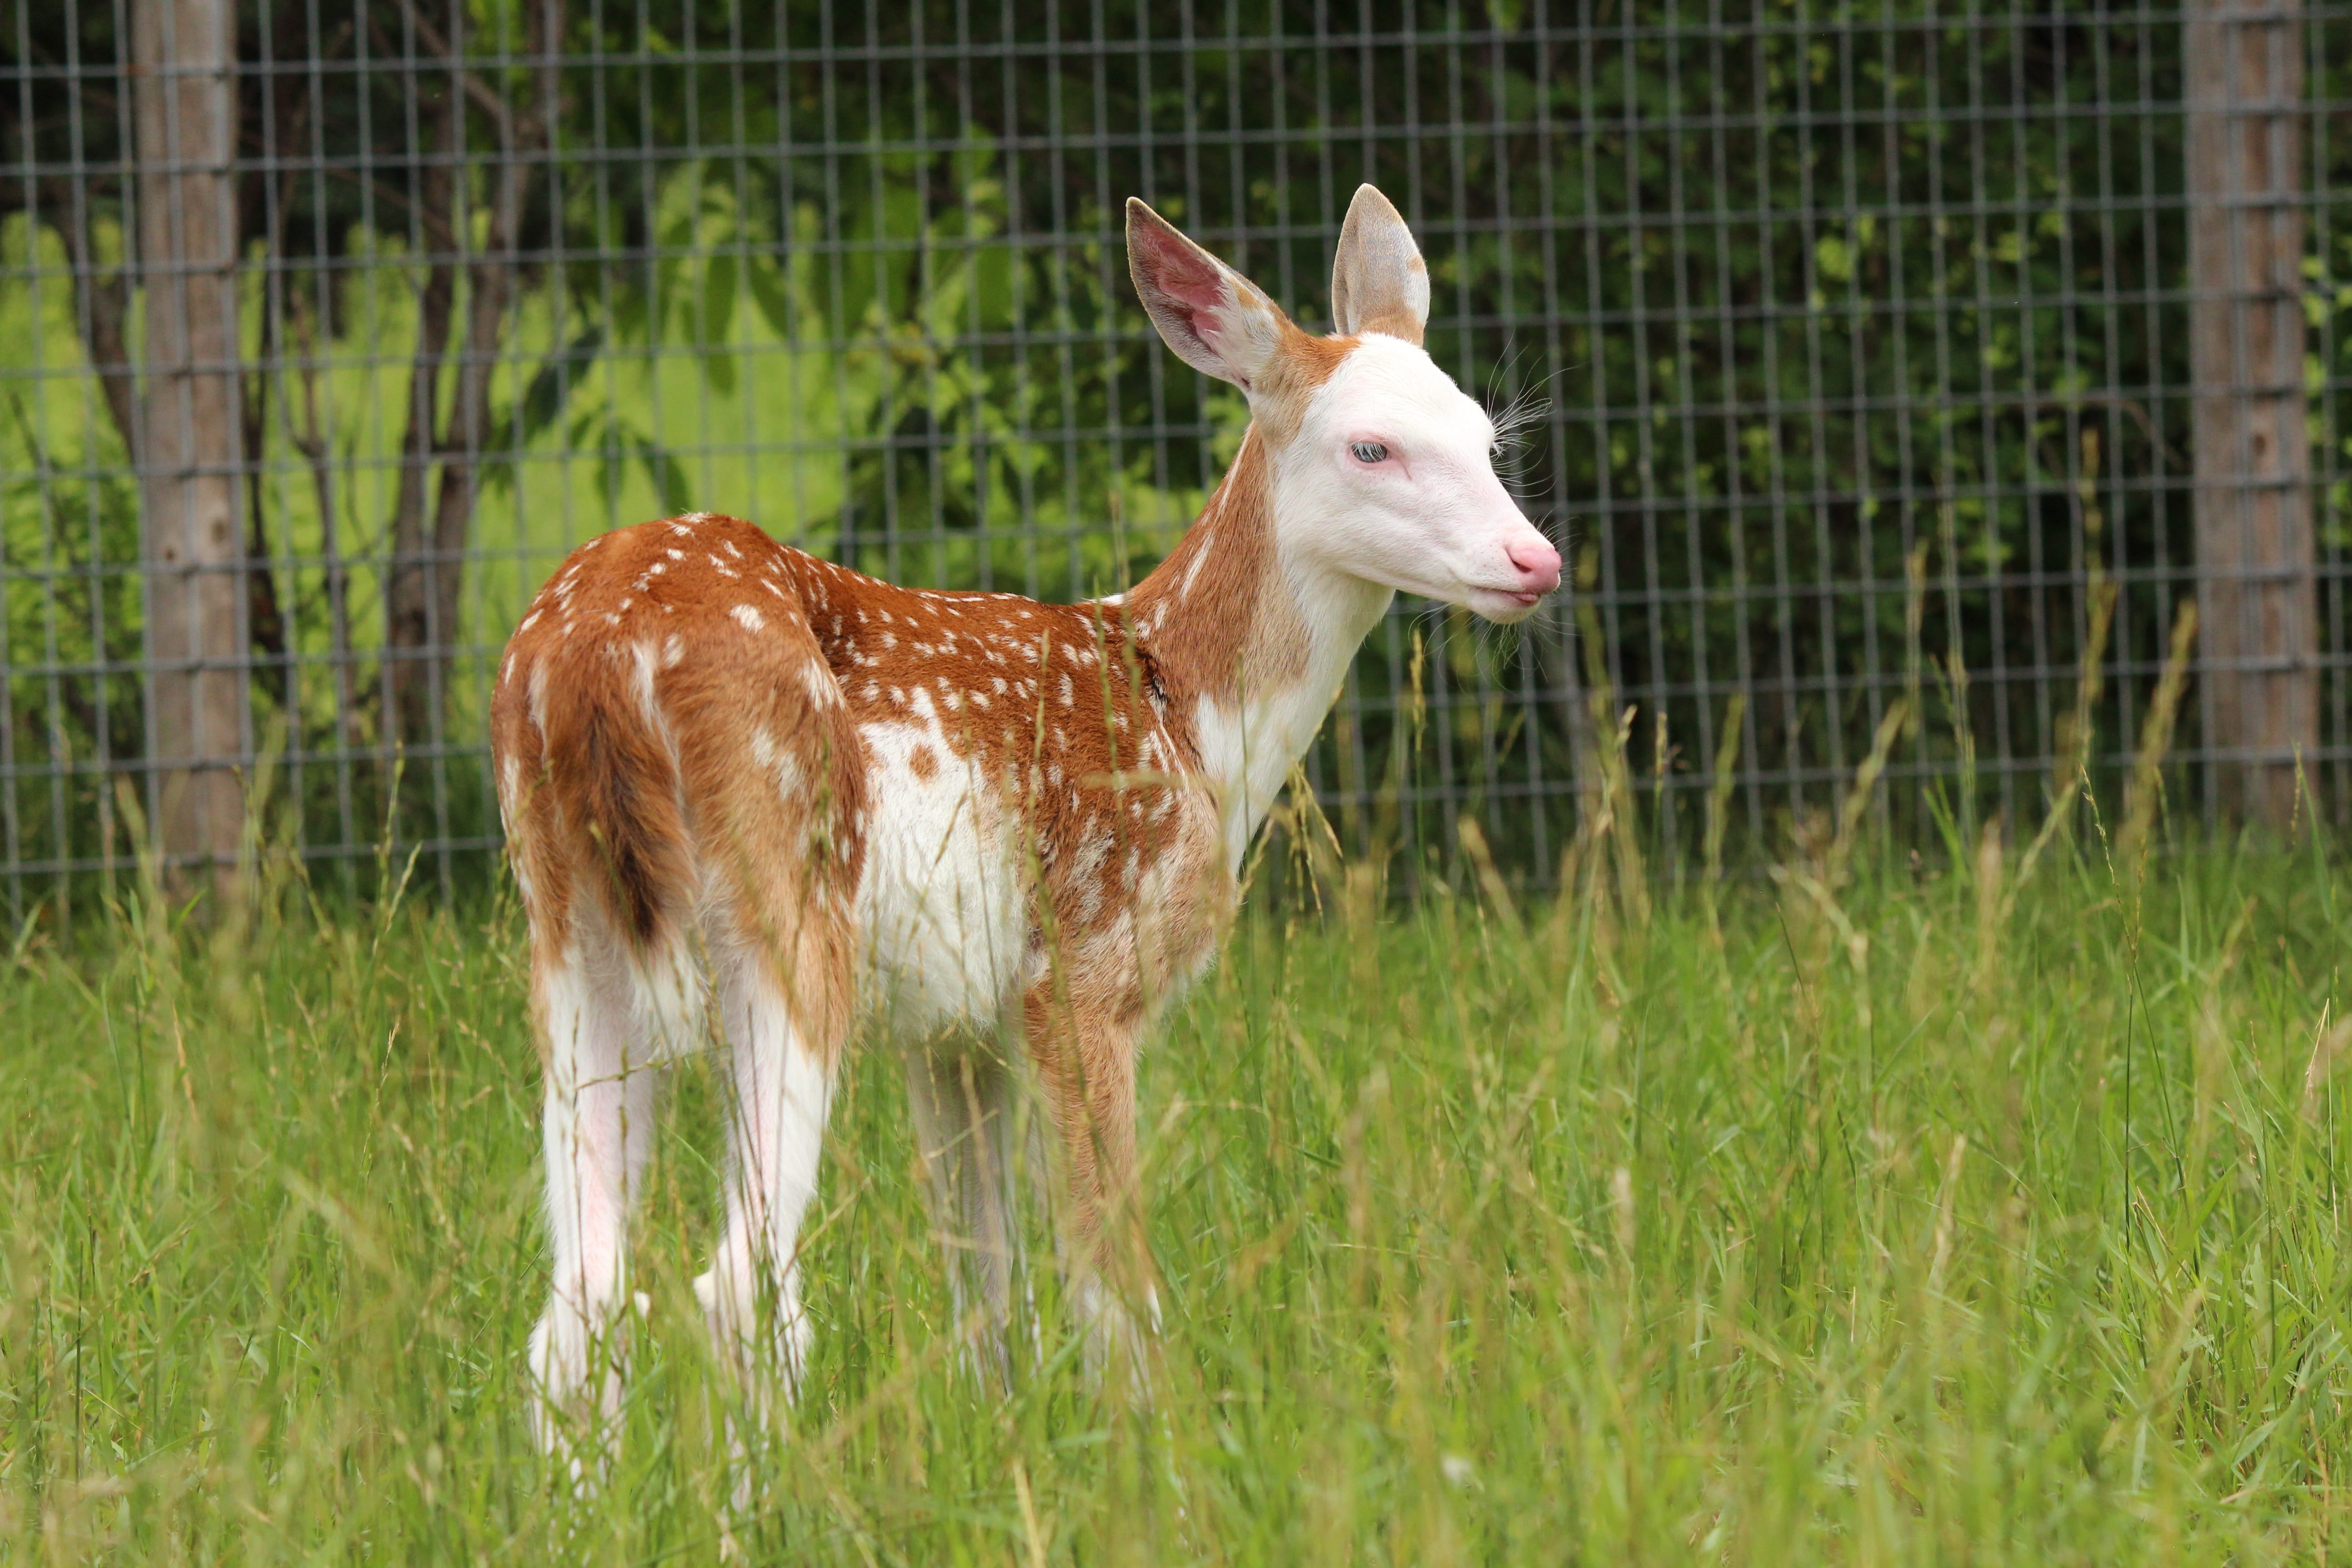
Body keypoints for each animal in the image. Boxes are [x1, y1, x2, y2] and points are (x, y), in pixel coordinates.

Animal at [489, 185, 1562, 1457]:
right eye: (1371, 447)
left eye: (1483, 436)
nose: (1534, 560)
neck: (1190, 722)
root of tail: (595, 648)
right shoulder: (1084, 965)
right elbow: (1111, 1280)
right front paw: (1156, 1449)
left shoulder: (953, 1023)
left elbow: (987, 1285)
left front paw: (1002, 1436)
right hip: (785, 905)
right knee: (731, 1288)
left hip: (572, 936)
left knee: (578, 1303)